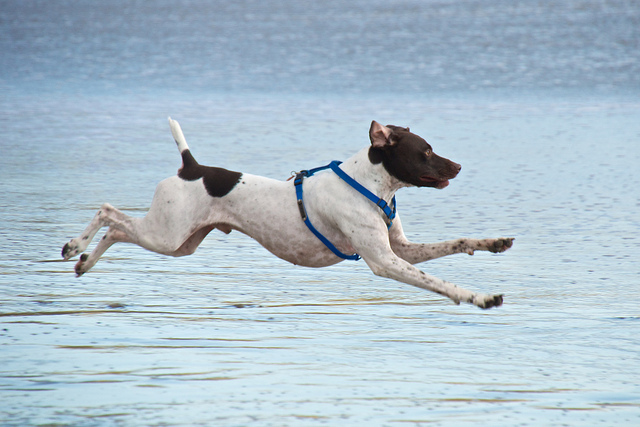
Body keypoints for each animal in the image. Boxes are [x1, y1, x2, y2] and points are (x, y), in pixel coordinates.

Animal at [62, 118, 516, 310]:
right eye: (425, 151)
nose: (458, 166)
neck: (370, 185)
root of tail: (191, 166)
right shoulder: (386, 262)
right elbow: (440, 282)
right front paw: (478, 297)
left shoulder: (401, 250)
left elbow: (457, 242)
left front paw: (493, 242)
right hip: (166, 235)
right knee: (110, 215)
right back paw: (75, 246)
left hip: (180, 244)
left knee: (118, 229)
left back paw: (84, 261)